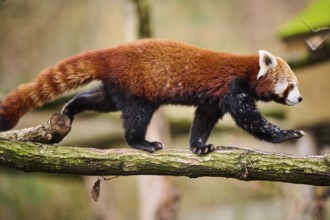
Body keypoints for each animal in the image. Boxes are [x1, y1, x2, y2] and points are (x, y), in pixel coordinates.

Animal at [0, 39, 304, 155]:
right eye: (291, 86)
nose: (300, 100)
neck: (248, 70)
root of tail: (112, 53)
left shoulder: (214, 99)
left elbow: (203, 120)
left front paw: (199, 146)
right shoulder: (233, 87)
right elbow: (250, 119)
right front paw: (285, 135)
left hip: (117, 87)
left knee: (101, 100)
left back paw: (73, 107)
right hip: (137, 89)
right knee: (136, 117)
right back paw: (142, 142)